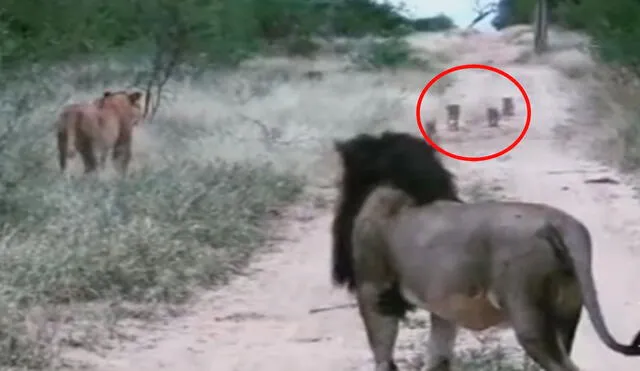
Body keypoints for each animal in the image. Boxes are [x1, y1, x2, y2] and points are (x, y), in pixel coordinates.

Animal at [332, 132, 640, 371]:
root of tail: (559, 221)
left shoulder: (374, 292)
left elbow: (383, 357)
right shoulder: (443, 309)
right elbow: (438, 358)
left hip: (528, 314)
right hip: (567, 310)